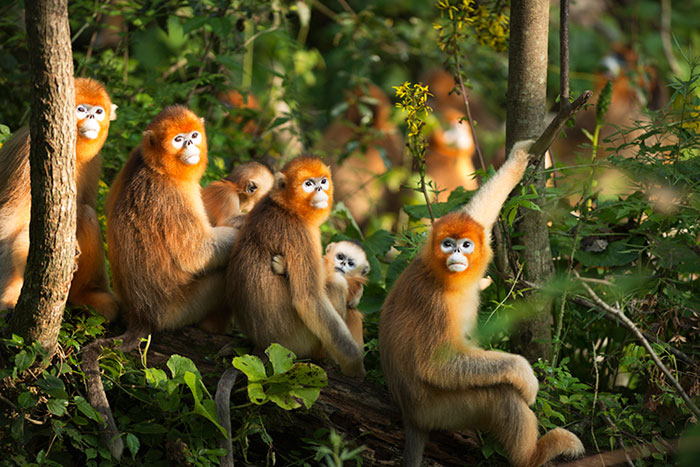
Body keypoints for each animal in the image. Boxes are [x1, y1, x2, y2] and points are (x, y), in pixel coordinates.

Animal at [228, 155, 366, 378]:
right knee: (335, 286)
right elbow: (309, 299)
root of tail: (261, 346)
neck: (286, 208)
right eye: (308, 184)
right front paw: (355, 365)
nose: (319, 189)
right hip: (297, 344)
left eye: (323, 181)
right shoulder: (301, 233)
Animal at [378, 142, 584, 467]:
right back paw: (532, 456)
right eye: (447, 244)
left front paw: (518, 159)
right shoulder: (434, 304)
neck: (443, 278)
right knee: (502, 395)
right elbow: (436, 364)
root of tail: (411, 417)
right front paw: (525, 374)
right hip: (444, 410)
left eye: (466, 245)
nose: (456, 255)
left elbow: (481, 211)